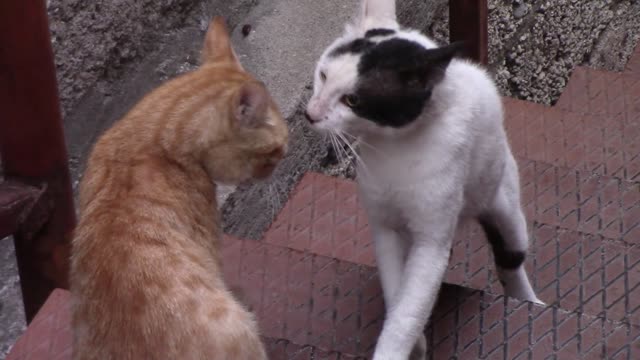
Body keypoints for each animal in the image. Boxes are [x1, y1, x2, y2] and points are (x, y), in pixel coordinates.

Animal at [308, 1, 544, 358]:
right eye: (322, 75)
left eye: (353, 100)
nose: (310, 114)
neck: (395, 148)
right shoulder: (384, 226)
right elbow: (399, 293)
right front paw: (416, 344)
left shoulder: (431, 239)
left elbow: (408, 310)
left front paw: (395, 347)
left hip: (502, 196)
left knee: (511, 258)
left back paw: (528, 299)